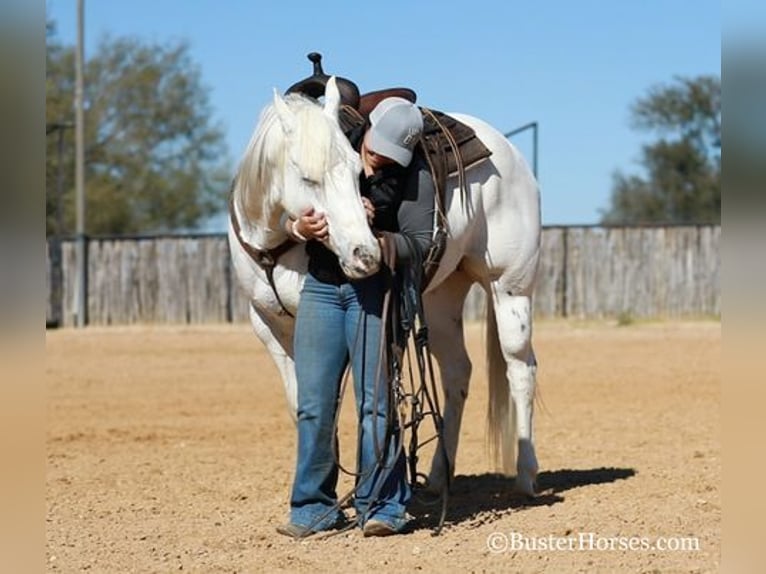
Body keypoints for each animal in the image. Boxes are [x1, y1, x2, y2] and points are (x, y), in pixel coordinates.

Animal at [228, 77, 540, 496]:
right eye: (307, 177)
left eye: (355, 170)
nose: (365, 253)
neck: (273, 242)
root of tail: (509, 152)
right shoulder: (269, 326)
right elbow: (302, 404)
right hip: (440, 300)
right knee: (457, 372)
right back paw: (438, 476)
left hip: (509, 288)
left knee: (520, 369)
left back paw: (526, 474)